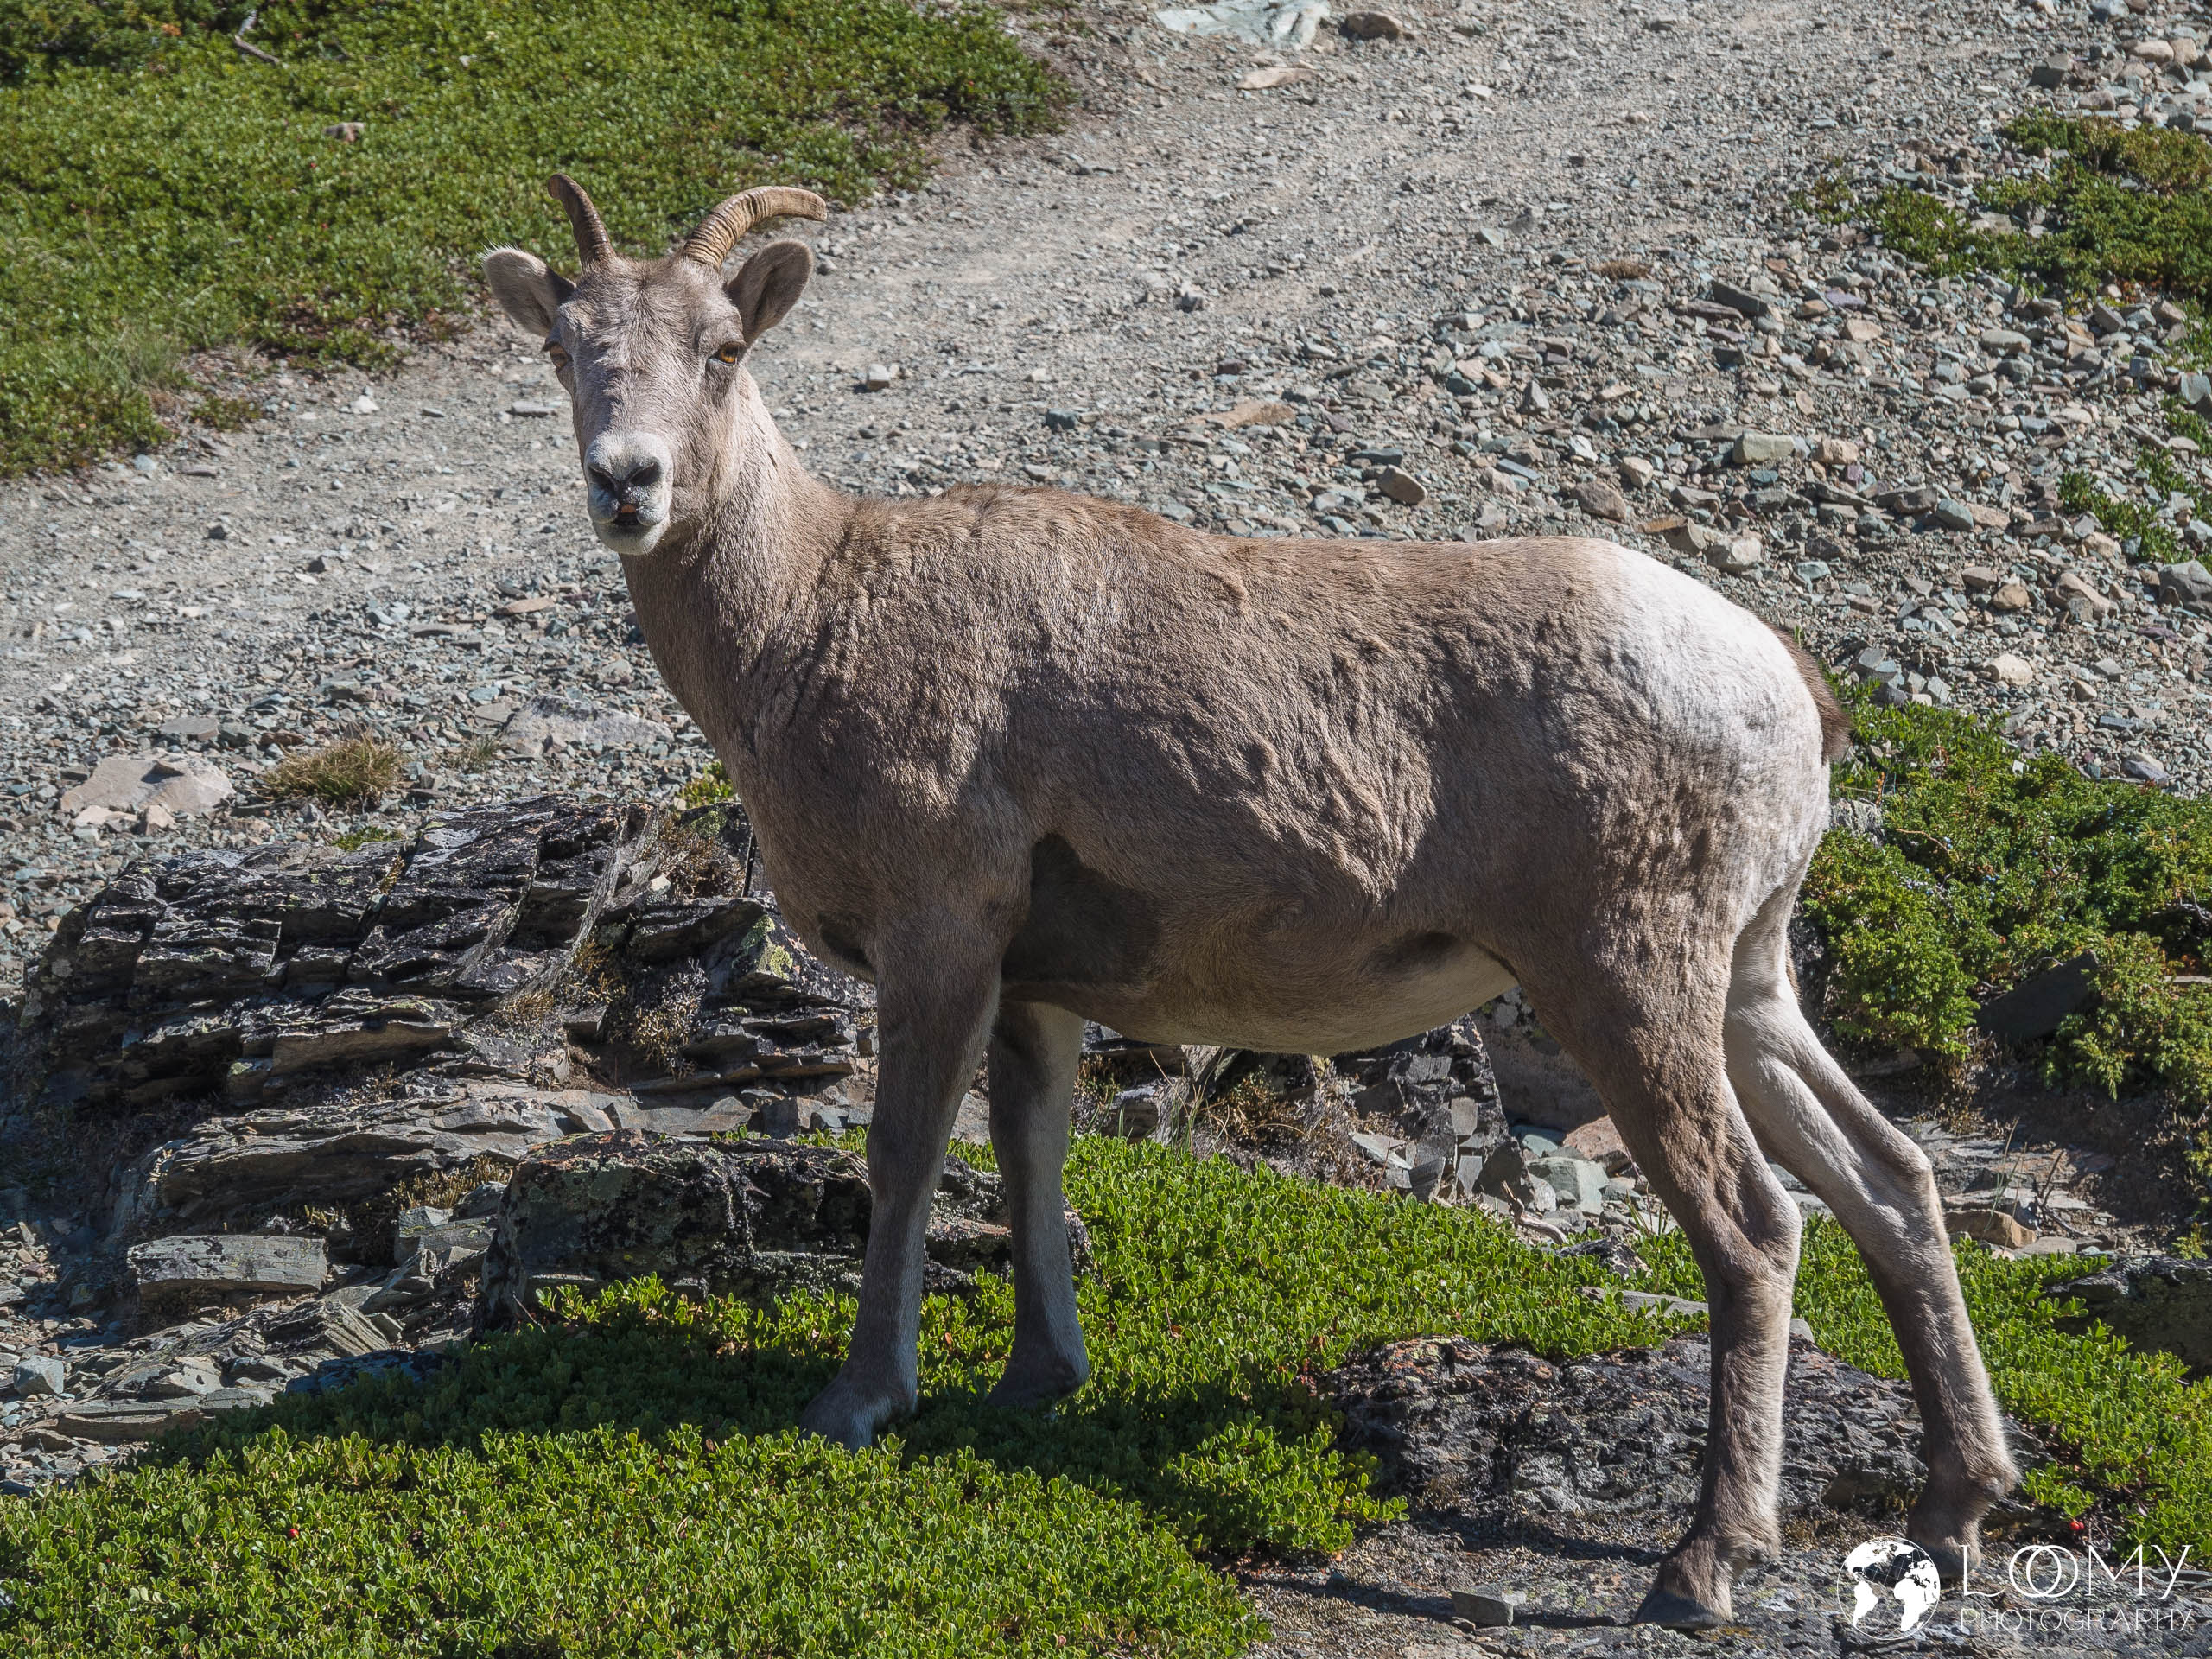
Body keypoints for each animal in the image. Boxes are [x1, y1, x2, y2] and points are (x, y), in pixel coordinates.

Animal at [480, 177, 2016, 1628]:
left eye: (723, 347)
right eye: (567, 349)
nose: (628, 483)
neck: (812, 615)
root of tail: (1783, 687)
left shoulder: (942, 941)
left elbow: (906, 1159)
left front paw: (858, 1406)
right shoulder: (1033, 988)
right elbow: (1031, 1158)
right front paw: (1036, 1384)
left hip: (1626, 986)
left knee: (1757, 1227)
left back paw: (1703, 1569)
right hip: (1747, 987)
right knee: (1893, 1180)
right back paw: (1952, 1515)